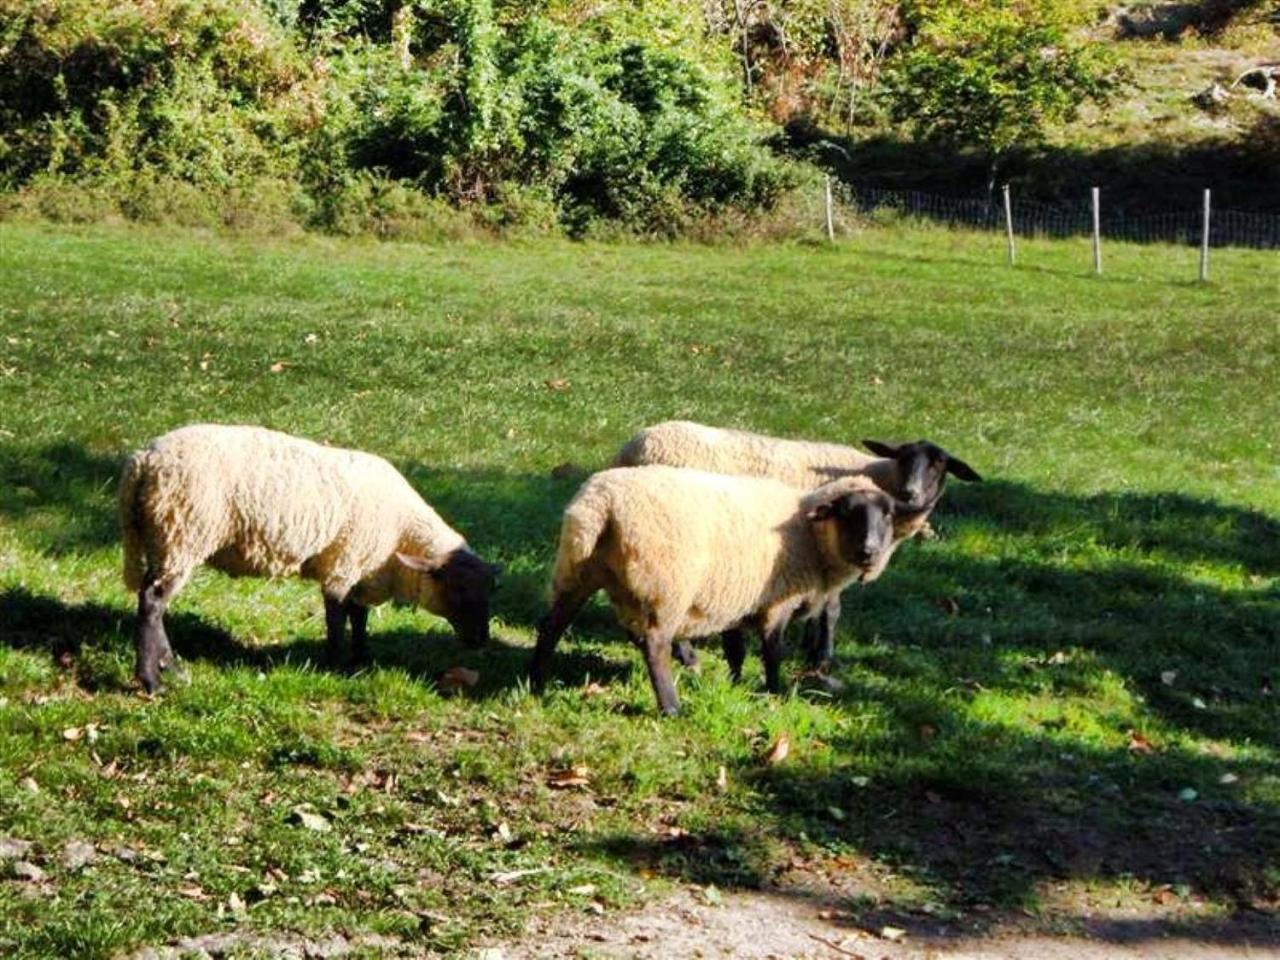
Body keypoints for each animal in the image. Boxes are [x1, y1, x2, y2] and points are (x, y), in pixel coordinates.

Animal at [119, 427, 499, 691]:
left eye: (490, 593)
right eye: (457, 591)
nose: (481, 641)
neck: (401, 534)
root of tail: (142, 461)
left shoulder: (362, 571)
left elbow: (359, 617)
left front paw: (361, 659)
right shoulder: (343, 564)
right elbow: (337, 618)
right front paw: (334, 663)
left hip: (164, 538)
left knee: (153, 604)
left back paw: (171, 668)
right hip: (180, 534)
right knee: (151, 603)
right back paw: (152, 679)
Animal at [524, 465, 926, 716]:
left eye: (887, 515)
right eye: (847, 512)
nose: (869, 551)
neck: (809, 533)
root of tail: (599, 505)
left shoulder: (737, 600)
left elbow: (736, 651)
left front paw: (735, 685)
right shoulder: (776, 603)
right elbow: (772, 652)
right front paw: (774, 691)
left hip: (578, 571)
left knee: (550, 626)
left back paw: (536, 684)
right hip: (667, 585)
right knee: (655, 645)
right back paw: (671, 707)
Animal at [609, 419, 977, 670]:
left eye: (939, 464)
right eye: (903, 458)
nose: (910, 493)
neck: (877, 476)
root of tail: (629, 451)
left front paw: (810, 645)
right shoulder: (828, 549)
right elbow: (832, 609)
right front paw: (822, 655)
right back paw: (687, 655)